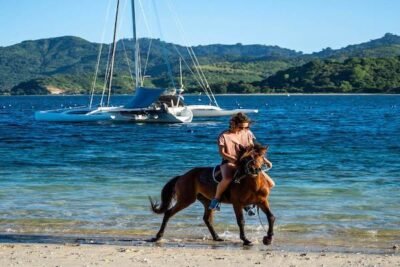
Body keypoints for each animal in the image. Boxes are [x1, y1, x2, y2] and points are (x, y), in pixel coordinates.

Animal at [148, 144, 276, 247]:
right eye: (246, 158)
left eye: (260, 156)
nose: (253, 169)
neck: (253, 185)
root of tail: (182, 176)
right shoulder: (237, 204)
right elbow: (241, 221)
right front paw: (246, 240)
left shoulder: (262, 201)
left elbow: (271, 217)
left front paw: (268, 239)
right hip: (186, 199)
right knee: (168, 213)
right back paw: (158, 236)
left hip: (207, 201)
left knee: (207, 219)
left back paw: (217, 237)